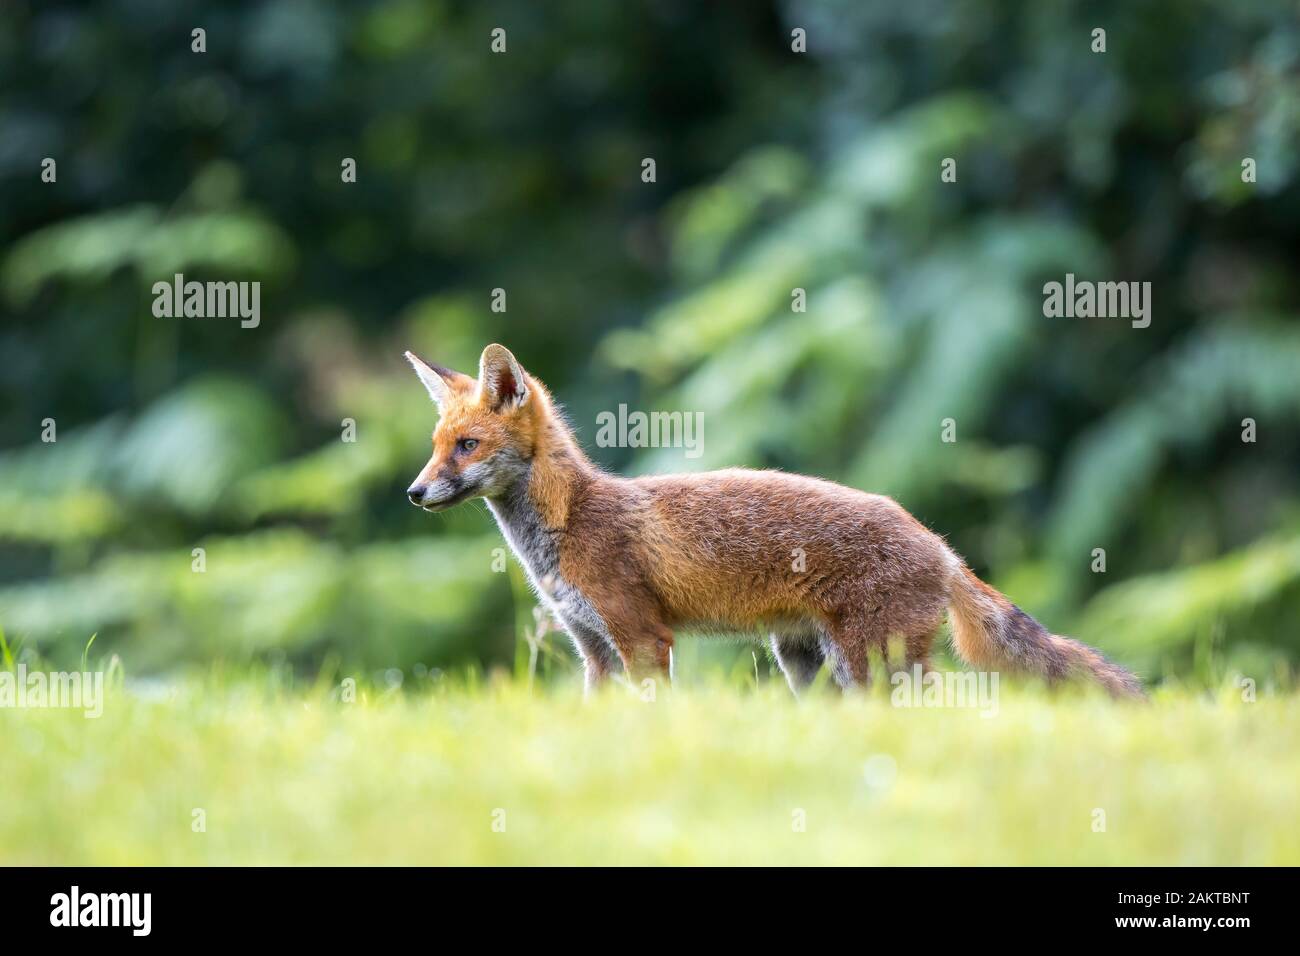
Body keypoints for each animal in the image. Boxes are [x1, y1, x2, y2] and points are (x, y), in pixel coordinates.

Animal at [404, 344, 1144, 699]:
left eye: (466, 446)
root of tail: (941, 545)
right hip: (808, 666)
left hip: (872, 665)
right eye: (436, 446)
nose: (414, 492)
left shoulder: (643, 639)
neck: (567, 524)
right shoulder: (595, 653)